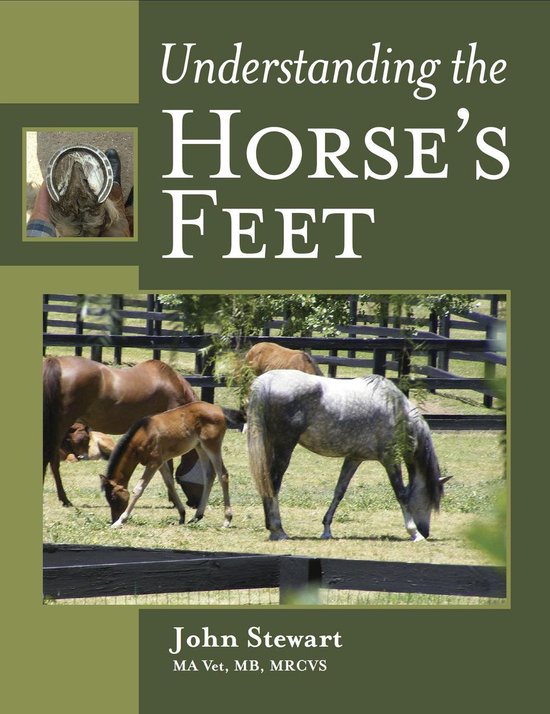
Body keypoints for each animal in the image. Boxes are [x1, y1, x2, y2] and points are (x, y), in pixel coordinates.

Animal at [100, 402, 232, 529]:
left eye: (113, 497)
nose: (114, 519)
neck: (144, 434)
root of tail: (219, 410)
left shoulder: (154, 463)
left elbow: (139, 488)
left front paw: (120, 521)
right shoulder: (161, 462)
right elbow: (169, 483)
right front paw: (182, 514)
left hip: (212, 446)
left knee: (223, 475)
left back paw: (227, 520)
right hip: (200, 447)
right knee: (210, 475)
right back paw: (197, 516)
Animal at [247, 370, 451, 542]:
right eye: (430, 500)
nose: (426, 531)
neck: (395, 409)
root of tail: (266, 380)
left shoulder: (354, 458)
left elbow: (339, 491)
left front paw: (326, 529)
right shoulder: (390, 459)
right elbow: (401, 494)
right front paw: (414, 532)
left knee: (266, 482)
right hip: (284, 447)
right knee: (273, 482)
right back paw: (278, 530)